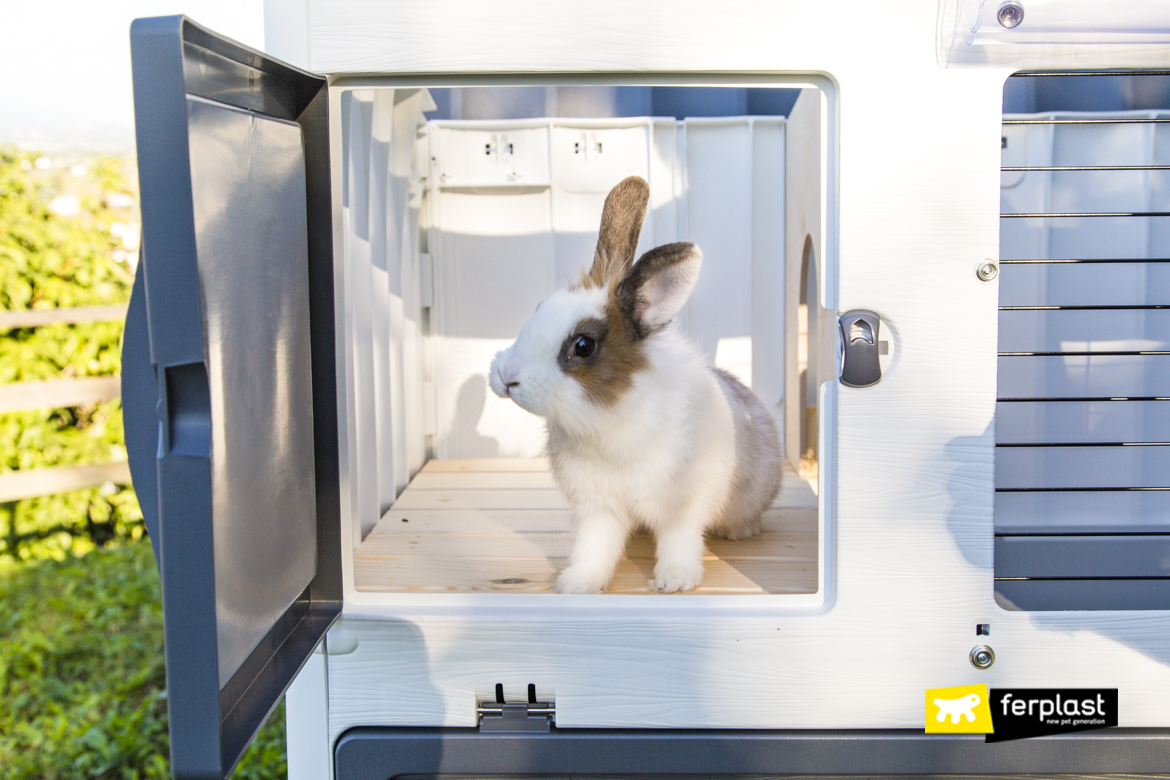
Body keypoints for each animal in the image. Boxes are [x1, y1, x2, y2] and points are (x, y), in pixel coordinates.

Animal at [489, 175, 781, 591]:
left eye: (583, 345)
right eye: (539, 308)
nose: (506, 377)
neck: (607, 419)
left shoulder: (682, 507)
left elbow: (679, 541)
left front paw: (674, 581)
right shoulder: (597, 508)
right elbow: (594, 548)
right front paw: (577, 583)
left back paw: (739, 531)